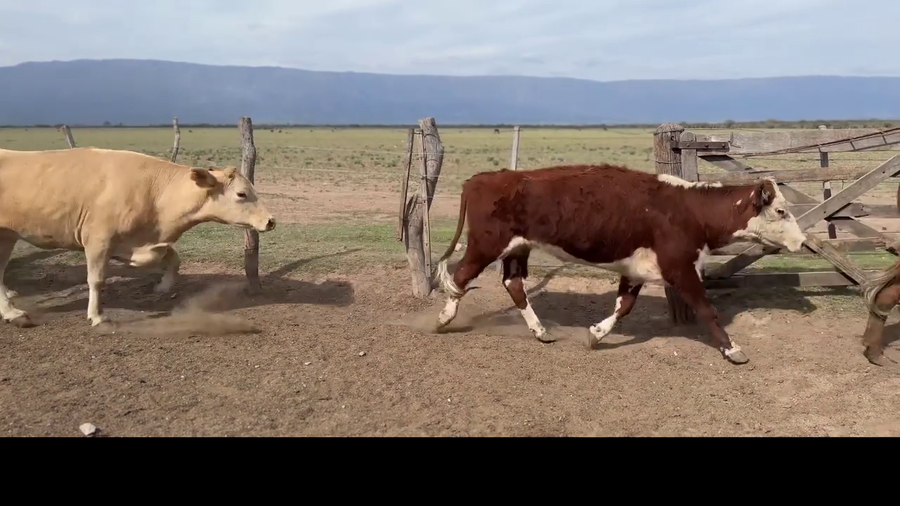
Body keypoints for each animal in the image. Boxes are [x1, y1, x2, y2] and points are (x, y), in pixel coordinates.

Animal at [0, 147, 276, 328]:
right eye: (241, 194)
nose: (271, 220)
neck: (155, 193)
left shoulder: (138, 244)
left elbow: (172, 256)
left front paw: (163, 285)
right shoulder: (98, 241)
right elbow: (96, 279)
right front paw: (97, 316)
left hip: (7, 236)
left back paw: (12, 311)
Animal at [432, 163, 807, 365]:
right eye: (780, 210)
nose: (802, 240)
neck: (689, 210)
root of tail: (483, 178)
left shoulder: (636, 270)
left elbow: (624, 306)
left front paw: (595, 334)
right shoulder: (680, 268)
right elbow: (707, 309)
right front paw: (733, 349)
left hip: (517, 248)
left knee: (513, 284)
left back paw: (540, 331)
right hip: (486, 244)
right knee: (460, 277)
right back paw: (443, 319)